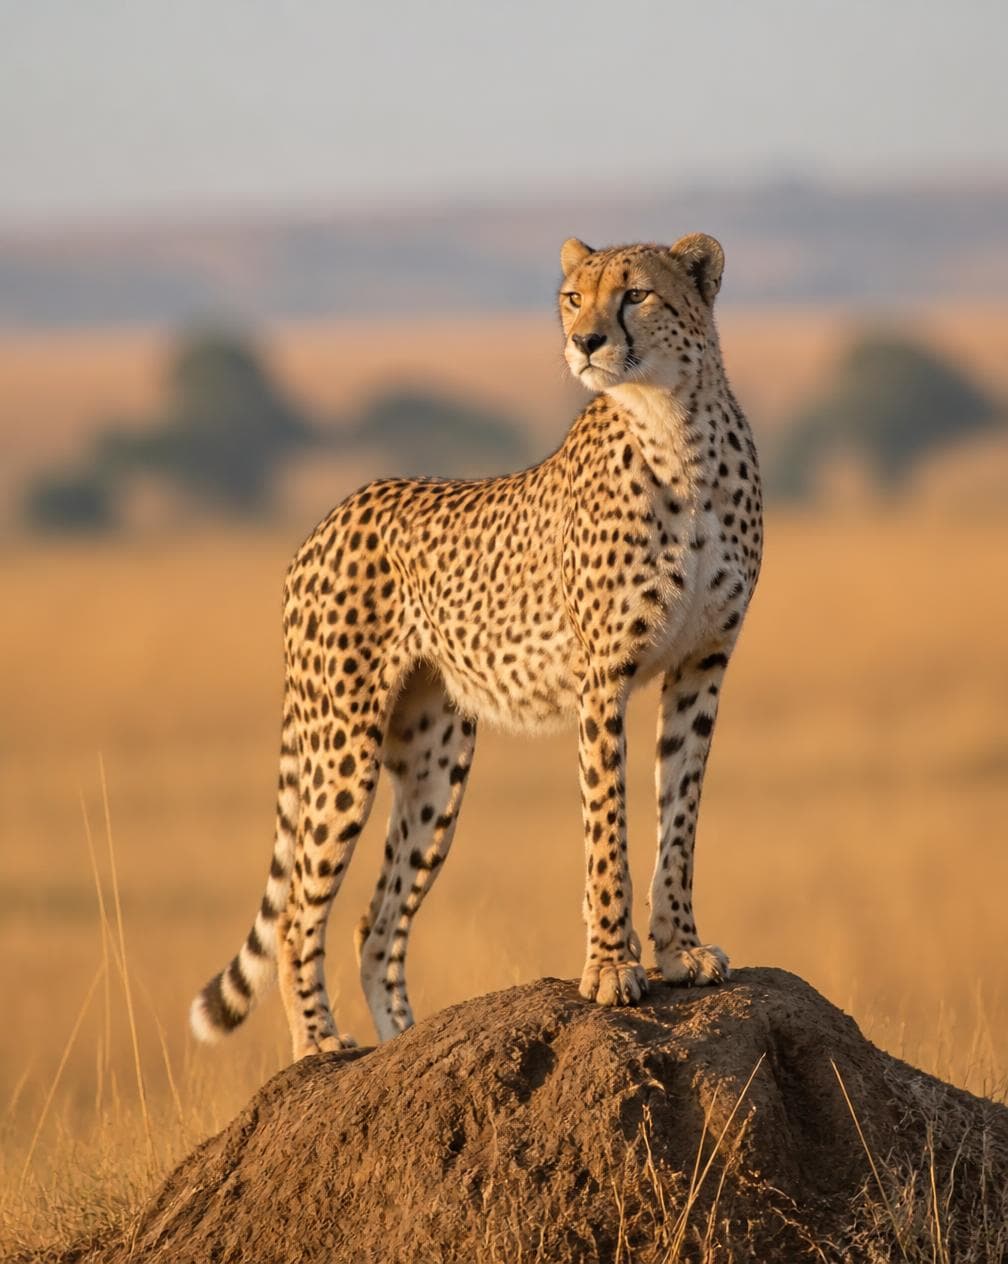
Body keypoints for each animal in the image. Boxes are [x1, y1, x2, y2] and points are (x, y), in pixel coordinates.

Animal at [190, 232, 763, 1060]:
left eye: (635, 294)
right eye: (573, 297)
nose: (584, 342)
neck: (674, 426)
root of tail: (329, 517)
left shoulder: (701, 666)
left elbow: (678, 817)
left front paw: (680, 949)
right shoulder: (604, 678)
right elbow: (608, 829)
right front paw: (611, 967)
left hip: (436, 766)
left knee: (375, 924)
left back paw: (408, 1041)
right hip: (342, 743)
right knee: (301, 910)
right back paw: (321, 1048)